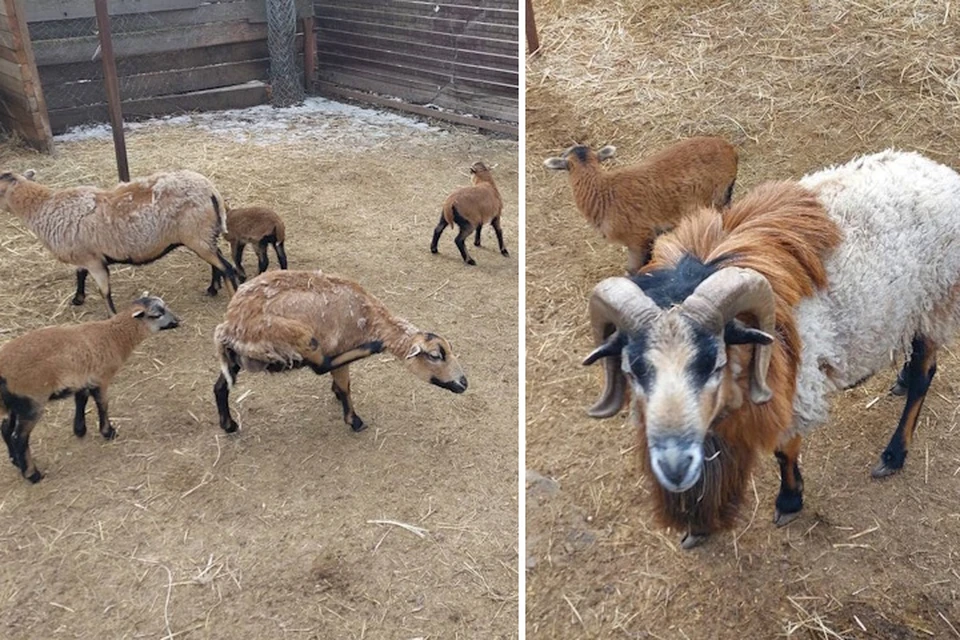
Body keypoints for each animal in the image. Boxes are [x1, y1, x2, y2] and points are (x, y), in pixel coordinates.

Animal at [0, 170, 239, 316]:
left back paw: (231, 296)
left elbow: (104, 291)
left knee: (227, 267)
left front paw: (111, 316)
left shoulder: (94, 261)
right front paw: (78, 298)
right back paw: (212, 288)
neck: (44, 208)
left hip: (197, 235)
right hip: (203, 235)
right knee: (218, 261)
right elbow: (79, 274)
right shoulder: (83, 254)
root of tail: (211, 190)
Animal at [0, 296, 181, 480]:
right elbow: (103, 404)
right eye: (157, 314)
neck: (115, 335)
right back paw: (32, 474)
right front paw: (108, 432)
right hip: (32, 401)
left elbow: (81, 400)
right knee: (18, 437)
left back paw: (15, 460)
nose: (177, 321)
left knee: (6, 428)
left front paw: (80, 429)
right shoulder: (101, 378)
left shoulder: (83, 379)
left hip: (16, 403)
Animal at [217, 270, 468, 436]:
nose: (464, 383)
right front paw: (354, 420)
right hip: (297, 334)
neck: (371, 317)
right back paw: (370, 348)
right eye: (435, 356)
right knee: (321, 365)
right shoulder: (340, 347)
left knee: (220, 386)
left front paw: (337, 394)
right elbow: (345, 385)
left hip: (238, 358)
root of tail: (230, 325)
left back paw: (229, 425)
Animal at [580, 149, 960, 544]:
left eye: (713, 362)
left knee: (925, 373)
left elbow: (783, 449)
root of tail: (936, 169)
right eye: (635, 369)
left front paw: (789, 500)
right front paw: (699, 525)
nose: (672, 466)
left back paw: (893, 453)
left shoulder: (793, 388)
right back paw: (898, 378)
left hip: (937, 299)